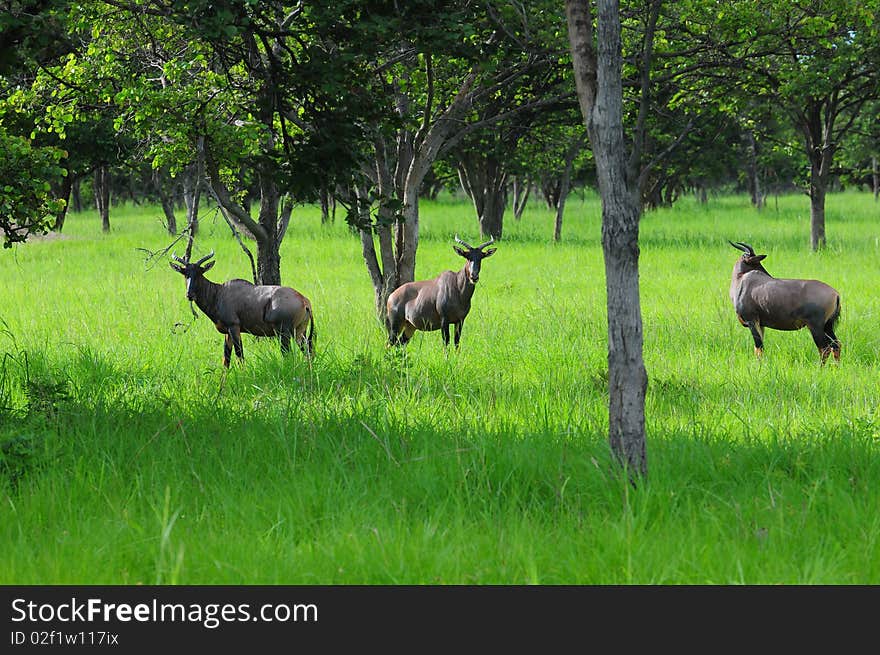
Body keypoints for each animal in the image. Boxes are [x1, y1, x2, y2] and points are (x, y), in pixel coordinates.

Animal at [170, 251, 314, 366]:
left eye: (200, 272)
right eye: (185, 273)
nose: (189, 294)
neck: (220, 292)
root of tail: (304, 300)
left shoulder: (234, 327)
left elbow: (240, 357)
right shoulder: (228, 332)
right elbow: (226, 360)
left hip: (284, 333)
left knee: (288, 355)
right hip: (300, 332)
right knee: (309, 352)